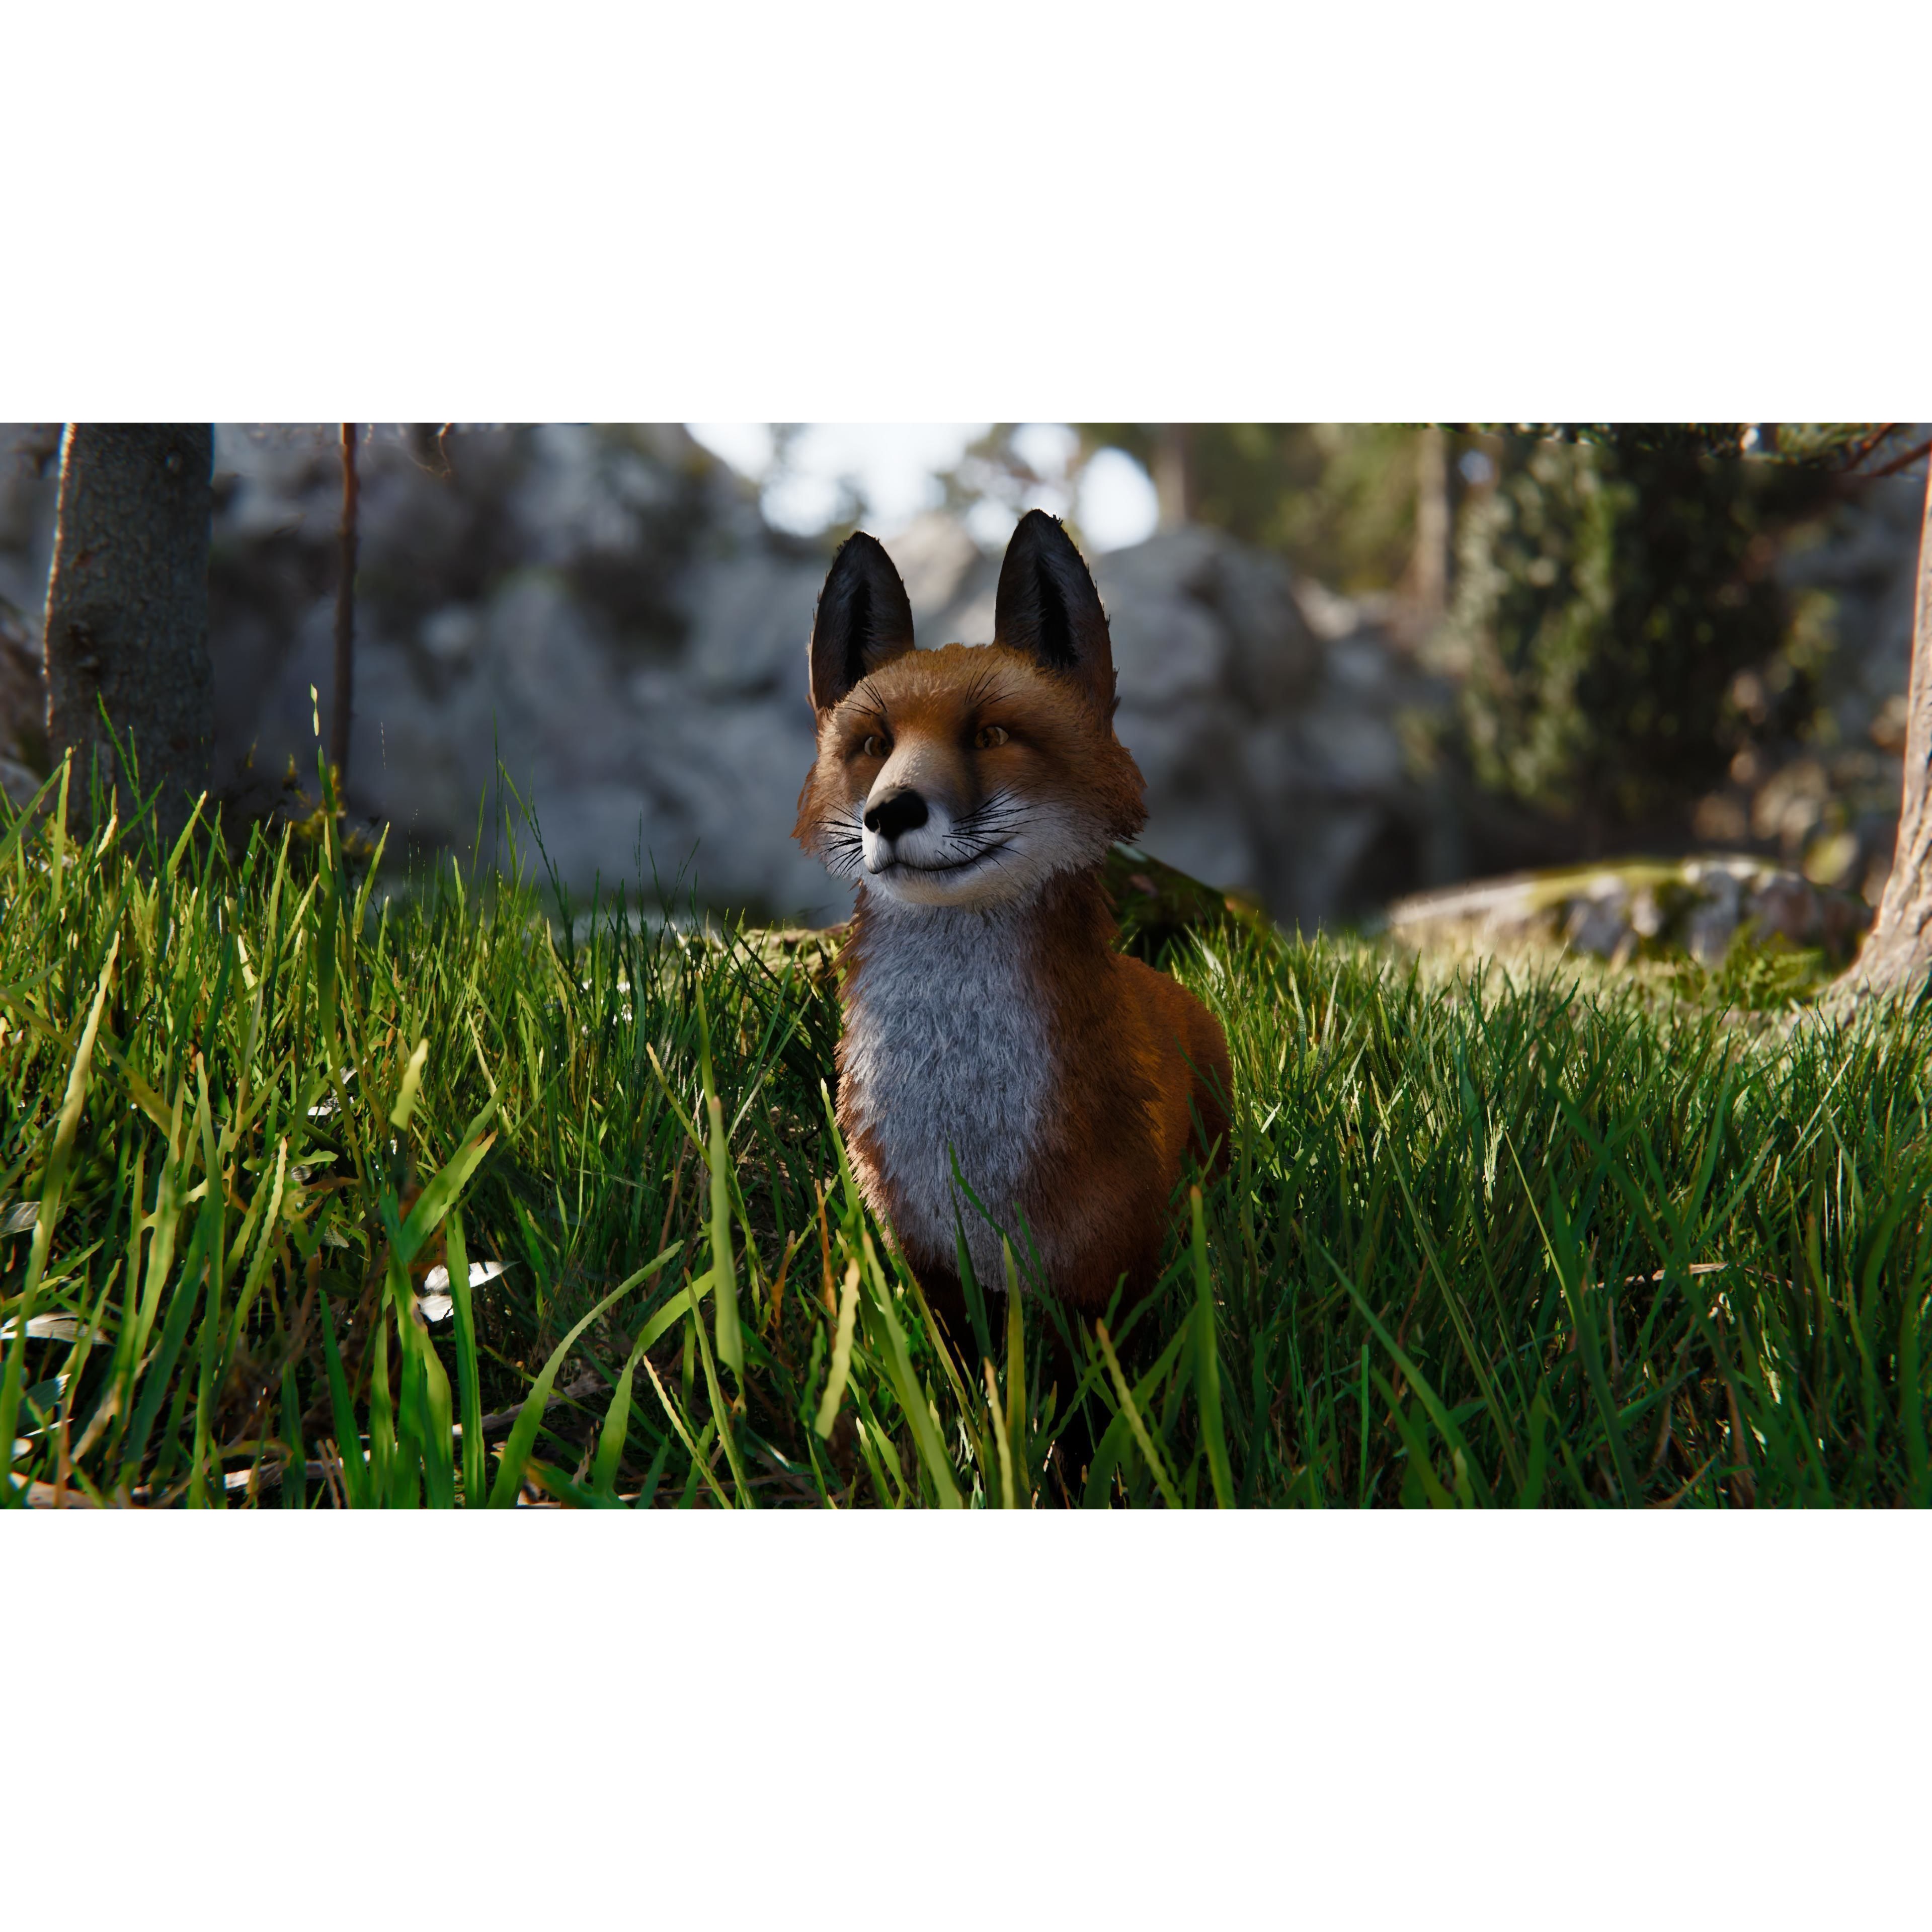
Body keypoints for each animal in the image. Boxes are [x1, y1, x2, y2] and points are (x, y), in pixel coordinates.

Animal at [792, 509, 1232, 1363]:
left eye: (991, 734)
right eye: (874, 744)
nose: (889, 812)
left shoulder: (1103, 1282)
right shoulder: (928, 1265)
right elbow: (962, 1382)